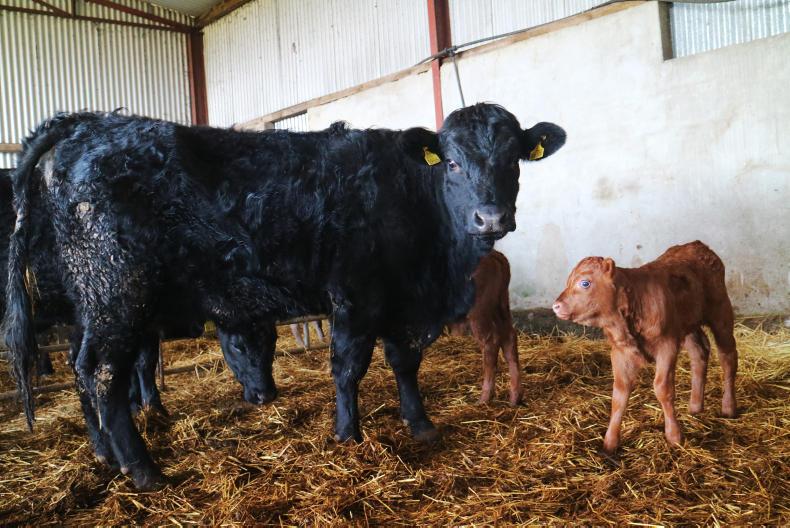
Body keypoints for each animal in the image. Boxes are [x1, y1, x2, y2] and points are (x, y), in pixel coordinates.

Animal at [447, 250, 522, 406]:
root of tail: (494, 254)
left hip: (478, 313)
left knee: (490, 343)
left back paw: (484, 398)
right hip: (500, 306)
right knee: (509, 338)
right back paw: (515, 398)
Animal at [552, 241, 738, 454]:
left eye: (585, 283)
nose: (556, 306)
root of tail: (697, 245)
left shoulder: (667, 345)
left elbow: (662, 388)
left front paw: (674, 436)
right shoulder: (620, 352)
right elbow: (619, 393)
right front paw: (609, 443)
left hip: (721, 313)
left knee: (727, 356)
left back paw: (729, 407)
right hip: (688, 325)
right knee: (700, 351)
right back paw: (695, 407)